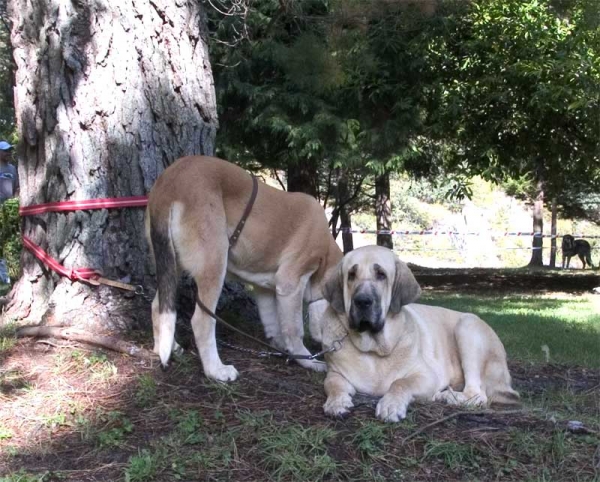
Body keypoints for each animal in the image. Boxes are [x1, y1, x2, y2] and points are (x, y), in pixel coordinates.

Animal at [145, 156, 342, 382]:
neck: (325, 252)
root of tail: (169, 182)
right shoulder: (290, 285)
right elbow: (294, 330)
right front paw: (307, 359)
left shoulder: (265, 290)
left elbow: (274, 324)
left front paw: (281, 348)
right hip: (214, 263)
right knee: (202, 321)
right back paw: (216, 370)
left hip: (170, 264)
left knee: (158, 306)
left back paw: (168, 347)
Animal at [318, 247, 520, 420]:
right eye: (351, 275)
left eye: (381, 275)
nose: (362, 301)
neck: (374, 347)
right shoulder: (335, 374)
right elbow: (332, 385)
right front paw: (337, 403)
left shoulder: (426, 376)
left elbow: (400, 383)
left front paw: (391, 405)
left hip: (467, 326)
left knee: (478, 395)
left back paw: (448, 397)